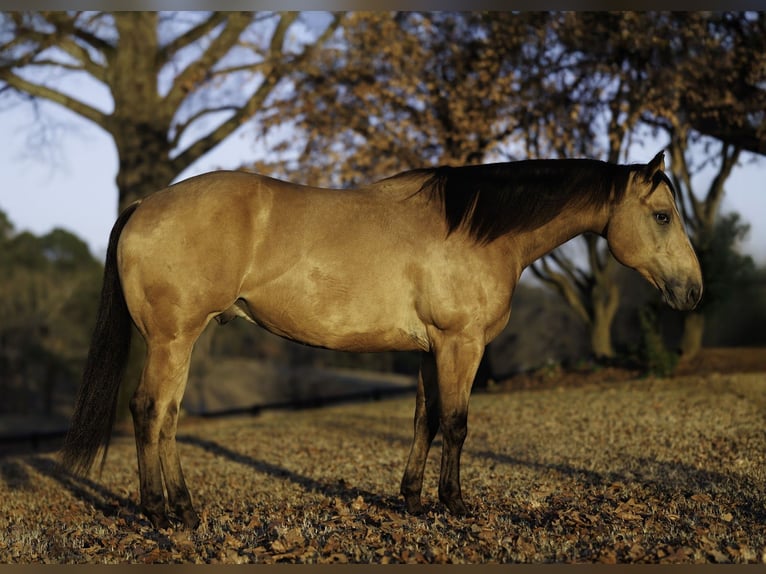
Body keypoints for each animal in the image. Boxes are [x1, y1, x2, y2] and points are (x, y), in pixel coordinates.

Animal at [61, 151, 702, 529]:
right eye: (664, 215)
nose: (693, 290)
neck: (475, 228)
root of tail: (146, 204)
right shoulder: (460, 344)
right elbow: (457, 424)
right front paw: (455, 504)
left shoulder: (428, 350)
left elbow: (425, 420)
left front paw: (413, 500)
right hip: (173, 339)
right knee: (149, 411)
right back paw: (158, 514)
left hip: (182, 342)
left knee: (168, 417)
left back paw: (186, 510)